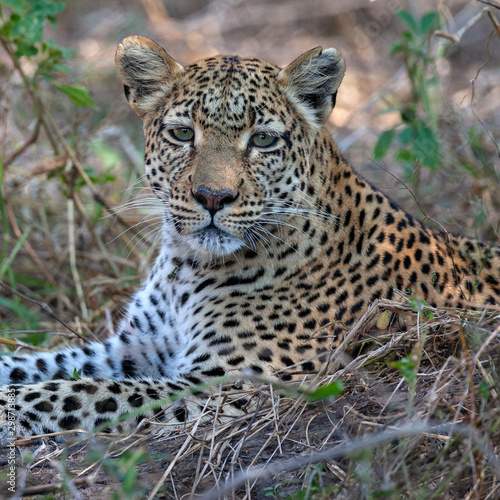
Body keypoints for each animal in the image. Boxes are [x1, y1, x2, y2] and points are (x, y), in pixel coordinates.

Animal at [0, 37, 500, 446]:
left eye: (262, 140)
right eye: (182, 133)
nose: (213, 196)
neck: (187, 265)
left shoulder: (231, 384)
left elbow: (71, 391)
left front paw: (6, 411)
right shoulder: (130, 350)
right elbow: (38, 367)